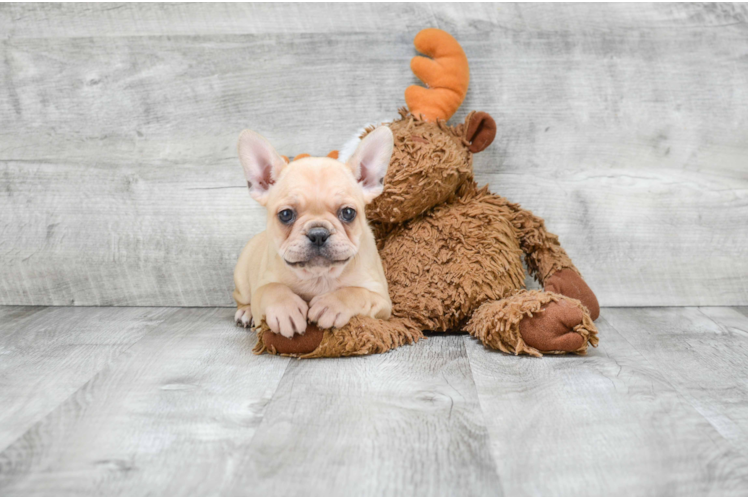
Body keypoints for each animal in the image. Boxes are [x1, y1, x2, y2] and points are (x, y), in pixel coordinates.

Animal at [234, 127, 394, 338]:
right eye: (285, 214)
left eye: (348, 213)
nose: (318, 234)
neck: (319, 276)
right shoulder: (263, 286)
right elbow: (271, 289)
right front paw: (285, 308)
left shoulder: (382, 299)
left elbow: (357, 292)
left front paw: (332, 305)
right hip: (242, 281)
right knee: (243, 298)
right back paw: (246, 312)